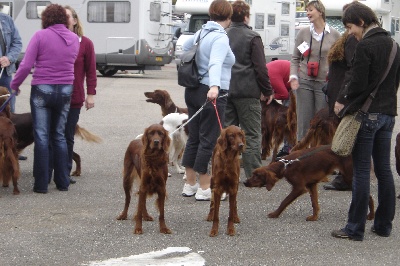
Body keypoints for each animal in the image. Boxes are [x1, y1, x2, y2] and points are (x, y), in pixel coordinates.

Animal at [244, 145, 376, 220]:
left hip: (349, 177)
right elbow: (314, 203)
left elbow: (284, 201)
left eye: (257, 176)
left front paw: (275, 214)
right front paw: (314, 217)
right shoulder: (311, 185)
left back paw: (371, 216)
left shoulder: (300, 187)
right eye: (252, 174)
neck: (285, 166)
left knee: (368, 196)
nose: (245, 182)